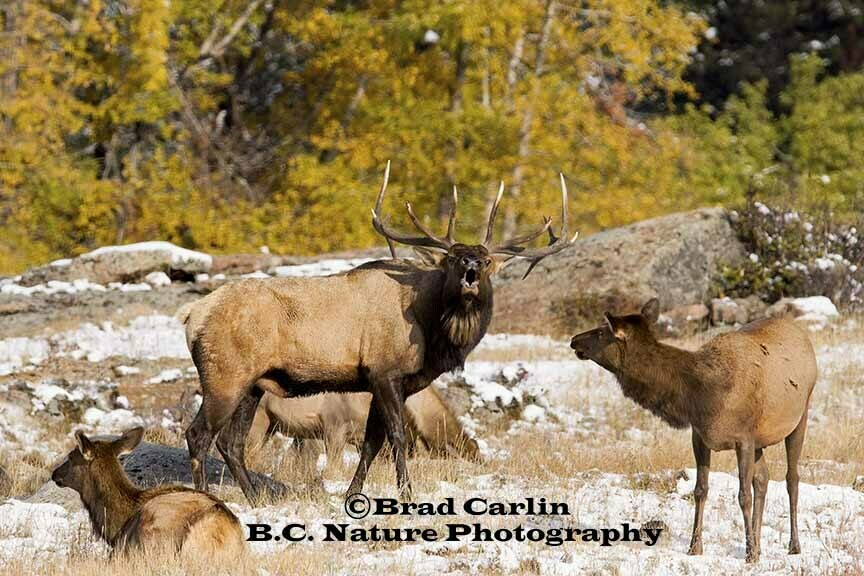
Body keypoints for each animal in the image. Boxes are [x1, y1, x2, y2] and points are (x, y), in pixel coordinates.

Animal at [569, 299, 817, 563]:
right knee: (763, 479)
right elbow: (700, 490)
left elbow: (743, 496)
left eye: (601, 331)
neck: (700, 396)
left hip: (800, 415)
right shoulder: (700, 436)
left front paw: (749, 554)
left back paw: (793, 545)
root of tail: (801, 334)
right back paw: (760, 545)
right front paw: (695, 547)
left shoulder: (744, 438)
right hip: (761, 440)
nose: (574, 339)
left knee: (792, 479)